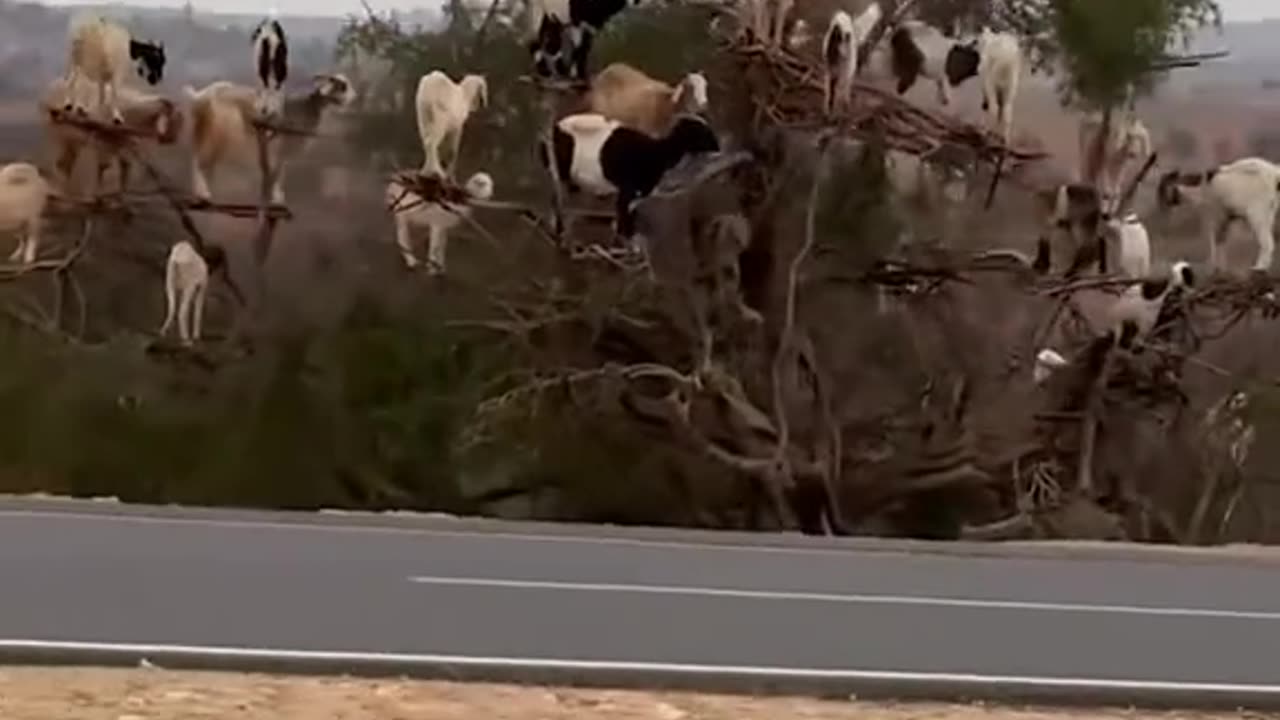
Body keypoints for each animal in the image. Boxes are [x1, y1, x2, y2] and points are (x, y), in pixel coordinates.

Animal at [184, 73, 355, 204]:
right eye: (343, 86)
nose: (355, 96)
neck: (306, 107)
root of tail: (203, 95)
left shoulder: (280, 151)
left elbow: (276, 172)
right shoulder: (279, 147)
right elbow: (277, 173)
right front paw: (276, 198)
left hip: (204, 131)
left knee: (196, 160)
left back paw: (201, 193)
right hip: (220, 132)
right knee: (200, 162)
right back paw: (203, 195)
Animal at [583, 63, 711, 139]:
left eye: (705, 85)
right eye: (690, 87)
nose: (703, 104)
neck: (667, 104)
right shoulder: (650, 132)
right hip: (601, 113)